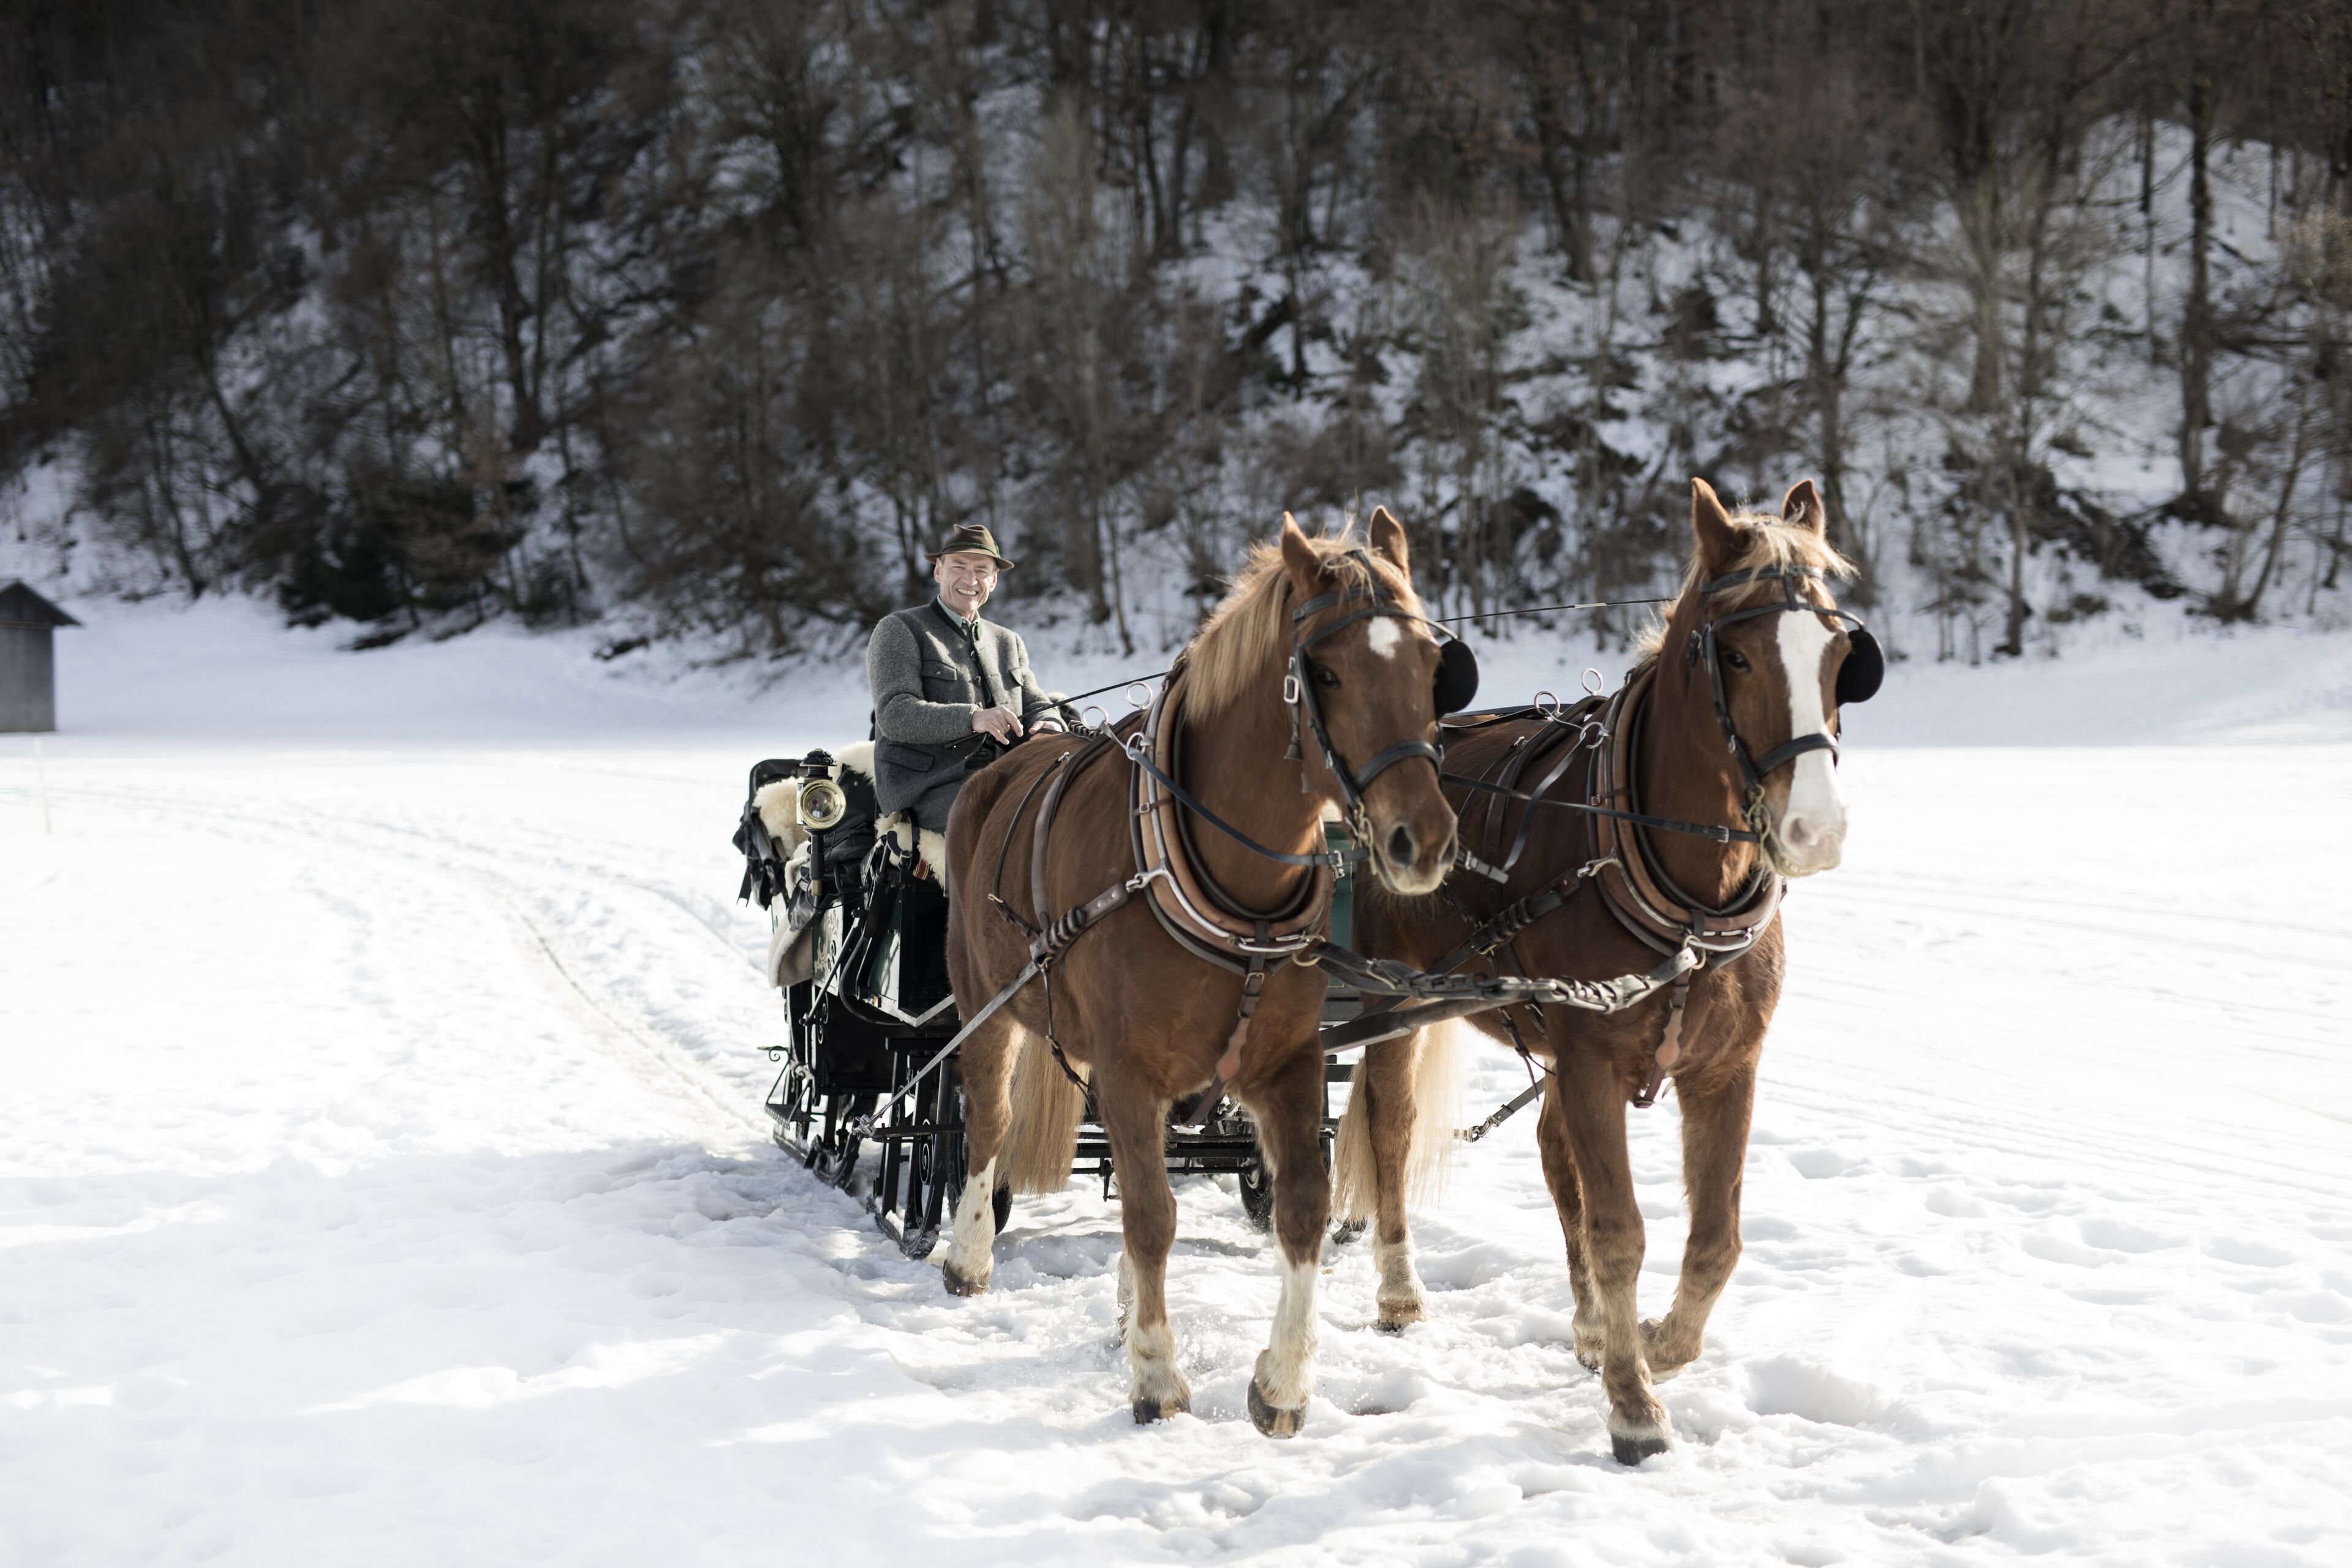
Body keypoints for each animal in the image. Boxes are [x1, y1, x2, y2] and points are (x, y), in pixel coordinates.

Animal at [938, 511, 1462, 1436]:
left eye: (1434, 672)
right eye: (1327, 672)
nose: (1422, 839)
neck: (1229, 885)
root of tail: (1001, 760)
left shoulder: (1285, 1063)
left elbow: (1301, 1206)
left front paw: (1282, 1382)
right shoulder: (1127, 1069)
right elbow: (1153, 1215)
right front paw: (1157, 1375)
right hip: (984, 1001)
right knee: (990, 1121)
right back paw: (968, 1255)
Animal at [1341, 477, 1879, 1464]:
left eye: (1839, 653)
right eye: (1735, 655)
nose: (1816, 829)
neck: (1687, 896)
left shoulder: (1725, 1069)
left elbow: (1716, 1238)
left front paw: (1657, 1343)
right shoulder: (1592, 1059)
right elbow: (1621, 1228)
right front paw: (1635, 1403)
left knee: (1555, 1153)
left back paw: (1593, 1325)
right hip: (1397, 1001)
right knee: (1393, 1131)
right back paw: (1401, 1291)